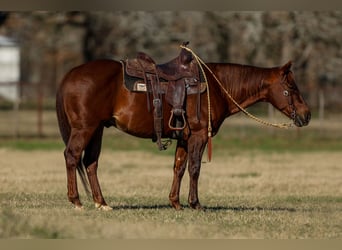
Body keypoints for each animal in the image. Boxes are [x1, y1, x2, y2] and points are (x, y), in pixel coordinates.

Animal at [55, 46, 310, 210]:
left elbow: (178, 167)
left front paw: (175, 202)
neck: (215, 86)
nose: (306, 115)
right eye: (291, 87)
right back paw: (76, 200)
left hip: (97, 129)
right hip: (85, 128)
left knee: (90, 163)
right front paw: (195, 204)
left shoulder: (184, 138)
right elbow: (195, 168)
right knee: (72, 156)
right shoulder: (198, 135)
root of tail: (69, 75)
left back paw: (102, 203)